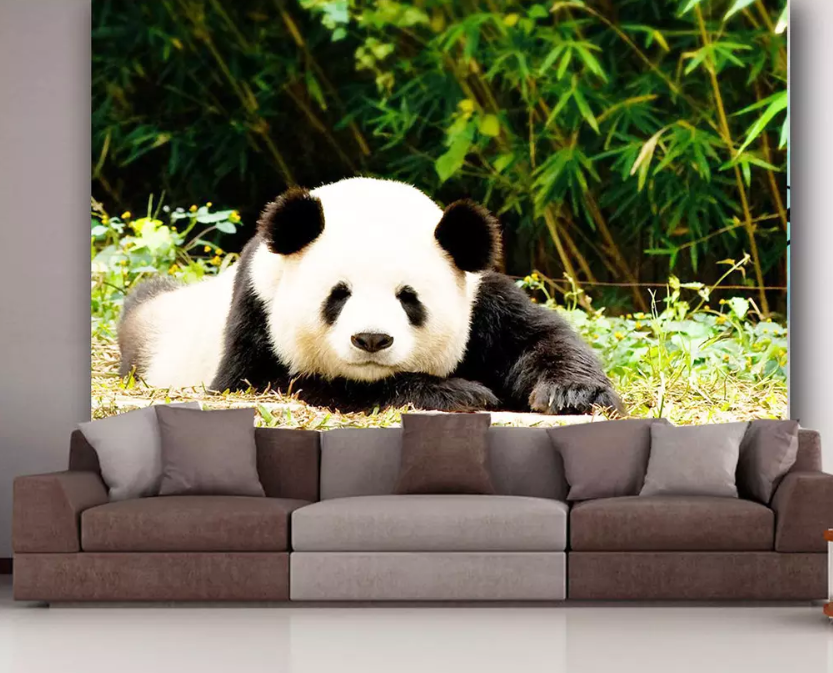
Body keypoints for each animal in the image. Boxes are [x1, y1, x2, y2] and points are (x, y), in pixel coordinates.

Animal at [119, 177, 622, 415]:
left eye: (408, 298)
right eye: (338, 295)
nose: (372, 341)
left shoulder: (480, 299)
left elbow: (539, 338)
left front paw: (574, 394)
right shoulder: (257, 307)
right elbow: (276, 381)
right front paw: (458, 393)